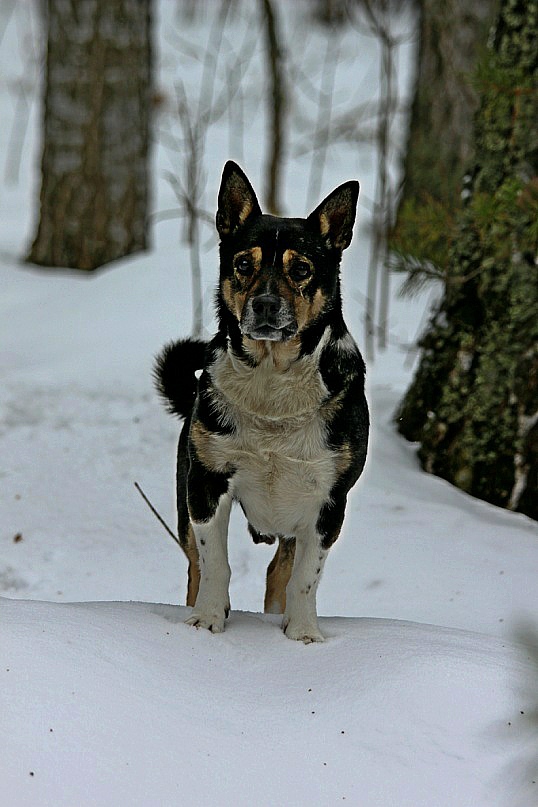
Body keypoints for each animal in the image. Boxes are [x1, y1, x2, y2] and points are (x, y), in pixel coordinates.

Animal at [153, 163, 366, 644]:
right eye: (243, 264)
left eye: (301, 268)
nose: (265, 305)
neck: (272, 387)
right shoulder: (206, 484)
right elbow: (215, 564)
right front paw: (207, 619)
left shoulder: (329, 501)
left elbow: (304, 577)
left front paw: (303, 633)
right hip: (185, 494)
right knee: (195, 565)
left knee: (279, 572)